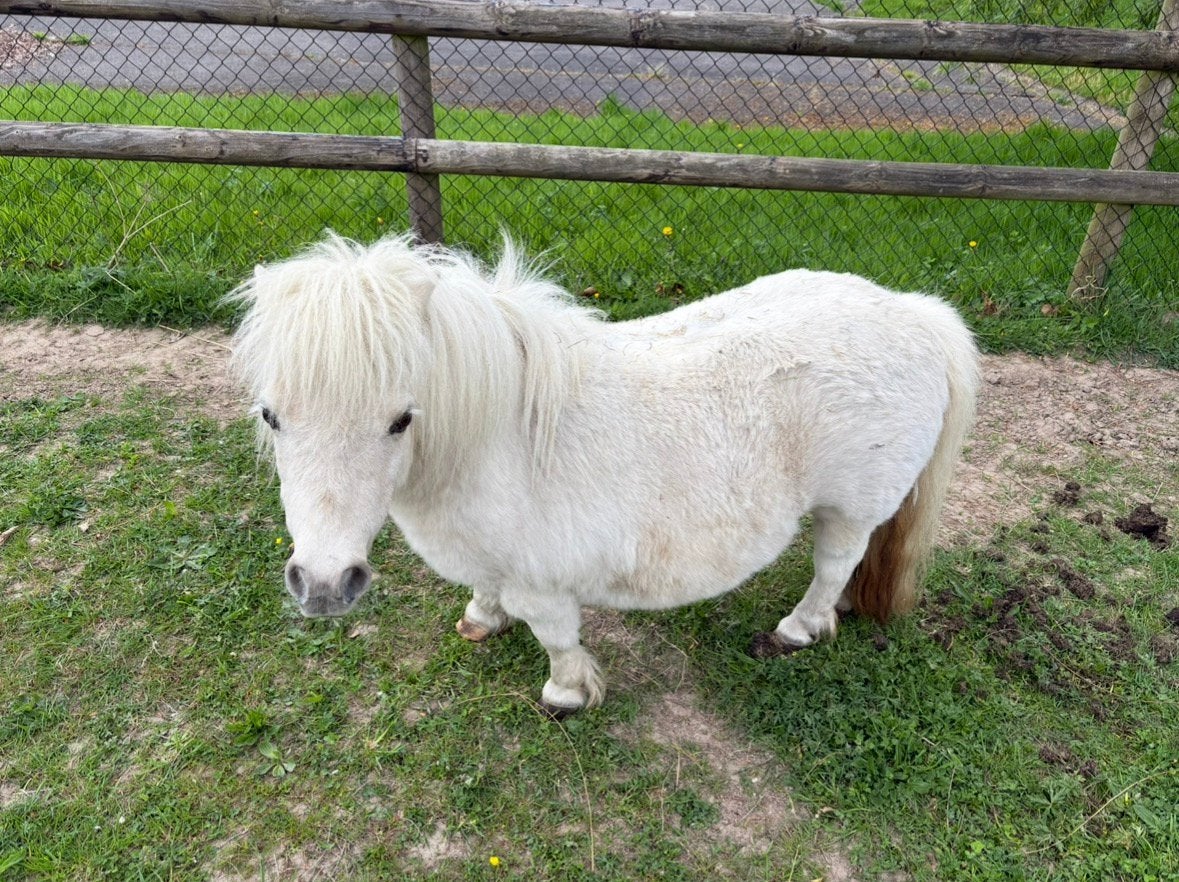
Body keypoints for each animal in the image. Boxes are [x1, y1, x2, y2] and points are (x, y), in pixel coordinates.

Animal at [228, 231, 978, 717]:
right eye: (270, 415)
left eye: (399, 420)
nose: (324, 586)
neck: (496, 435)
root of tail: (915, 313)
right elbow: (486, 591)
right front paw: (481, 619)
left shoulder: (542, 583)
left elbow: (557, 638)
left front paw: (565, 695)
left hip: (849, 507)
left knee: (833, 563)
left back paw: (802, 626)